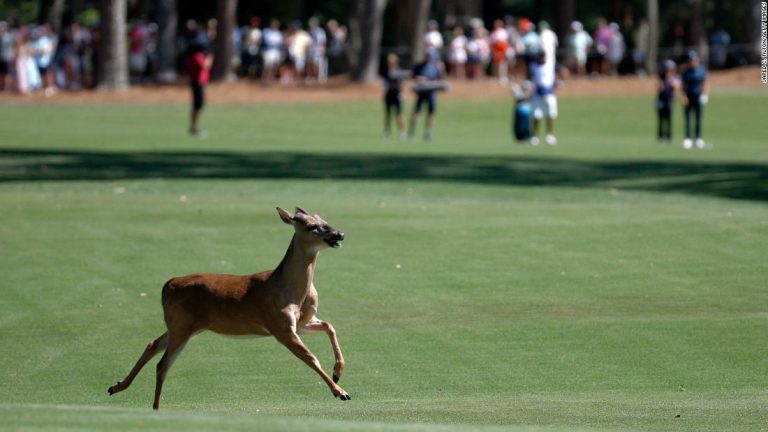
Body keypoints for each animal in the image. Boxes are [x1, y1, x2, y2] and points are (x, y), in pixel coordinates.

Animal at [106, 206, 350, 408]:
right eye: (312, 226)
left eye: (325, 219)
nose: (339, 234)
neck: (290, 291)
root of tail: (167, 285)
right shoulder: (280, 326)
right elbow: (312, 357)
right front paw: (340, 391)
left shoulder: (301, 323)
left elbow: (330, 326)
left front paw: (338, 372)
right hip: (183, 325)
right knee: (162, 364)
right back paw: (155, 408)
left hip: (181, 324)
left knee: (152, 345)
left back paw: (116, 387)